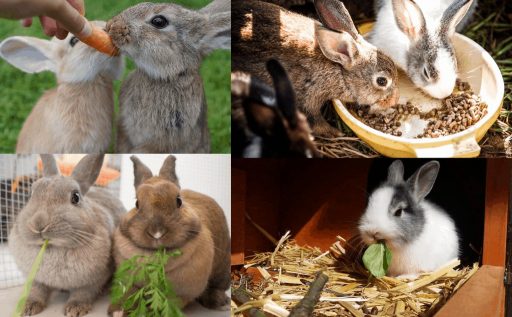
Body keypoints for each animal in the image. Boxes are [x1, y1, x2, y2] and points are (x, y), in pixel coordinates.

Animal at [110, 154, 230, 314]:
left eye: (178, 201)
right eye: (137, 204)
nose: (157, 232)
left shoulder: (181, 294)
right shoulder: (129, 282)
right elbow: (127, 295)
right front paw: (117, 311)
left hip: (222, 269)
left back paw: (220, 303)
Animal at [233, 0, 400, 137]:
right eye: (382, 81)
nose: (394, 100)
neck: (338, 70)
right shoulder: (305, 99)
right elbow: (315, 121)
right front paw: (335, 132)